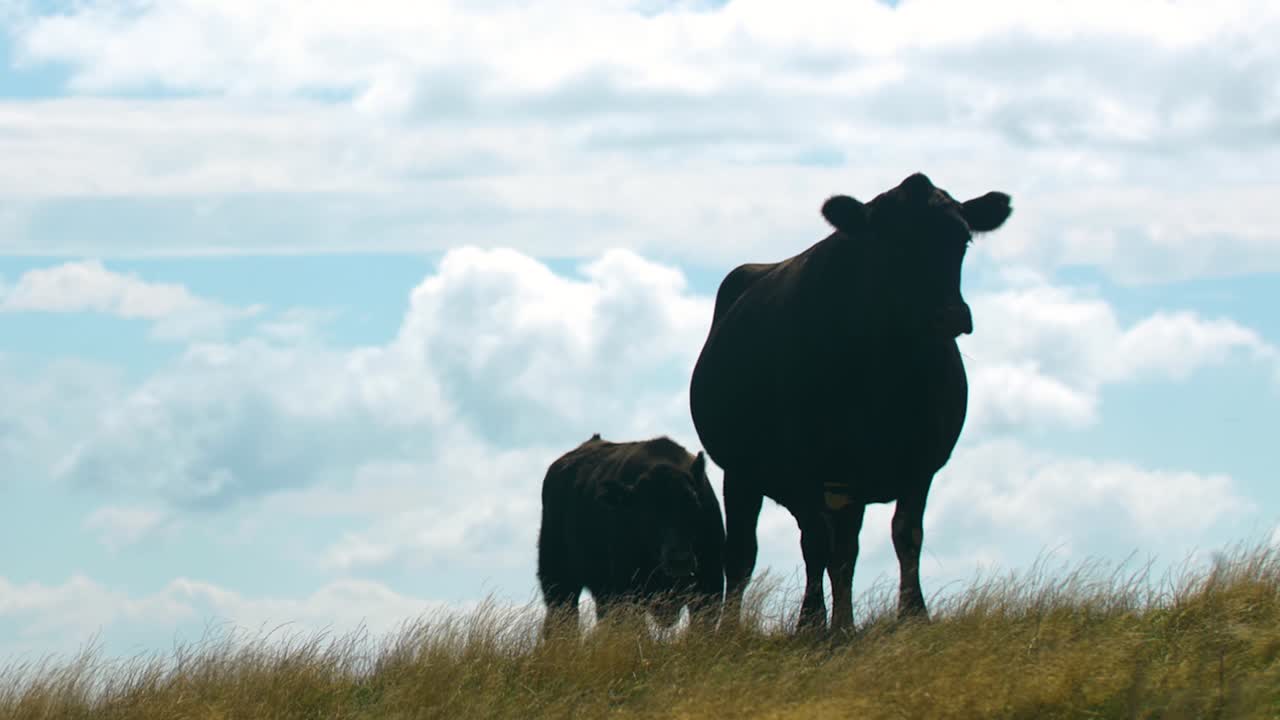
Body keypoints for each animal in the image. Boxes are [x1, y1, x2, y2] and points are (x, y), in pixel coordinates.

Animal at [536, 433, 726, 637]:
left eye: (693, 502)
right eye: (646, 512)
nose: (679, 559)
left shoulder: (710, 585)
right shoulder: (628, 590)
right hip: (558, 581)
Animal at [688, 172, 1012, 634]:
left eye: (963, 240)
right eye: (892, 241)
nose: (950, 315)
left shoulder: (920, 463)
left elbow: (906, 535)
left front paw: (914, 614)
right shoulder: (822, 466)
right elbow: (834, 550)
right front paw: (831, 625)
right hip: (743, 472)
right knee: (749, 553)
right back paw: (752, 626)